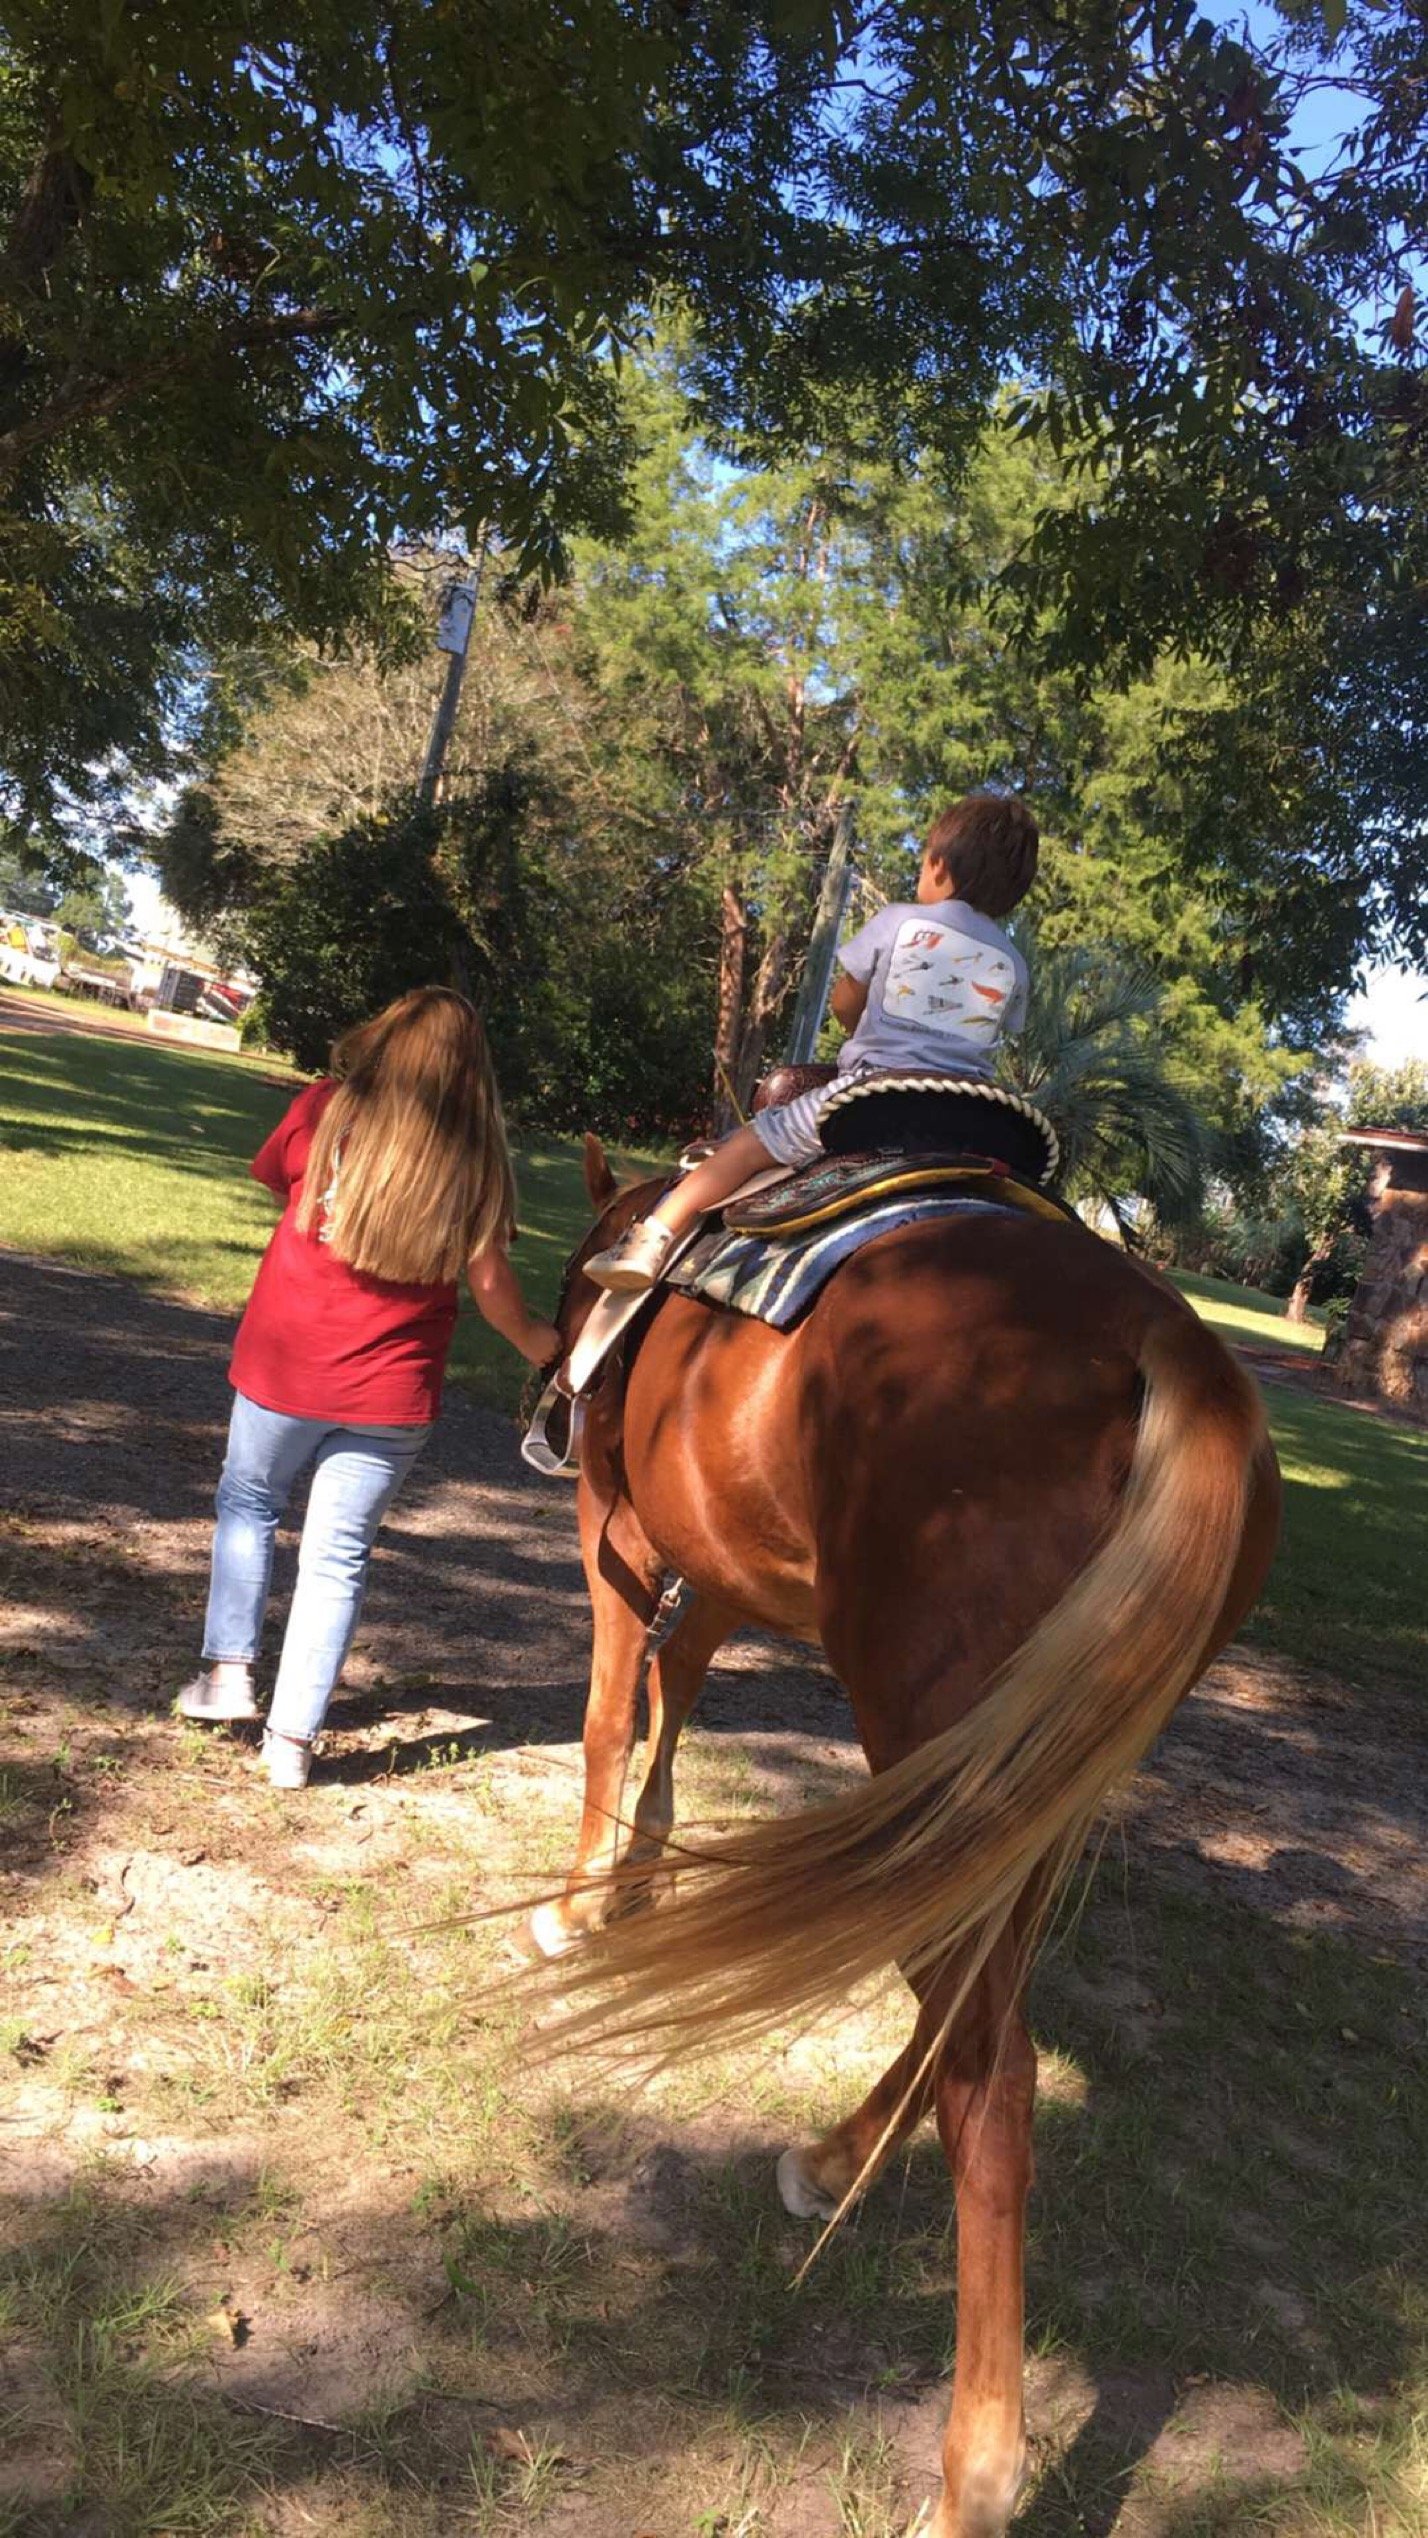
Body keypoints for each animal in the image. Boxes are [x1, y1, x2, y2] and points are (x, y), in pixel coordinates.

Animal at [524, 1132, 1280, 2538]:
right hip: (1024, 1781)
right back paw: (832, 2159)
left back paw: (975, 2470)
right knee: (961, 2007)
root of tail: (1166, 1342)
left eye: (564, 1285)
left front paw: (582, 1901)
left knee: (996, 2076)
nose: (550, 1388)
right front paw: (642, 1873)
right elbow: (679, 1691)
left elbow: (609, 1710)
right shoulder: (716, 1559)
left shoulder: (618, 1525)